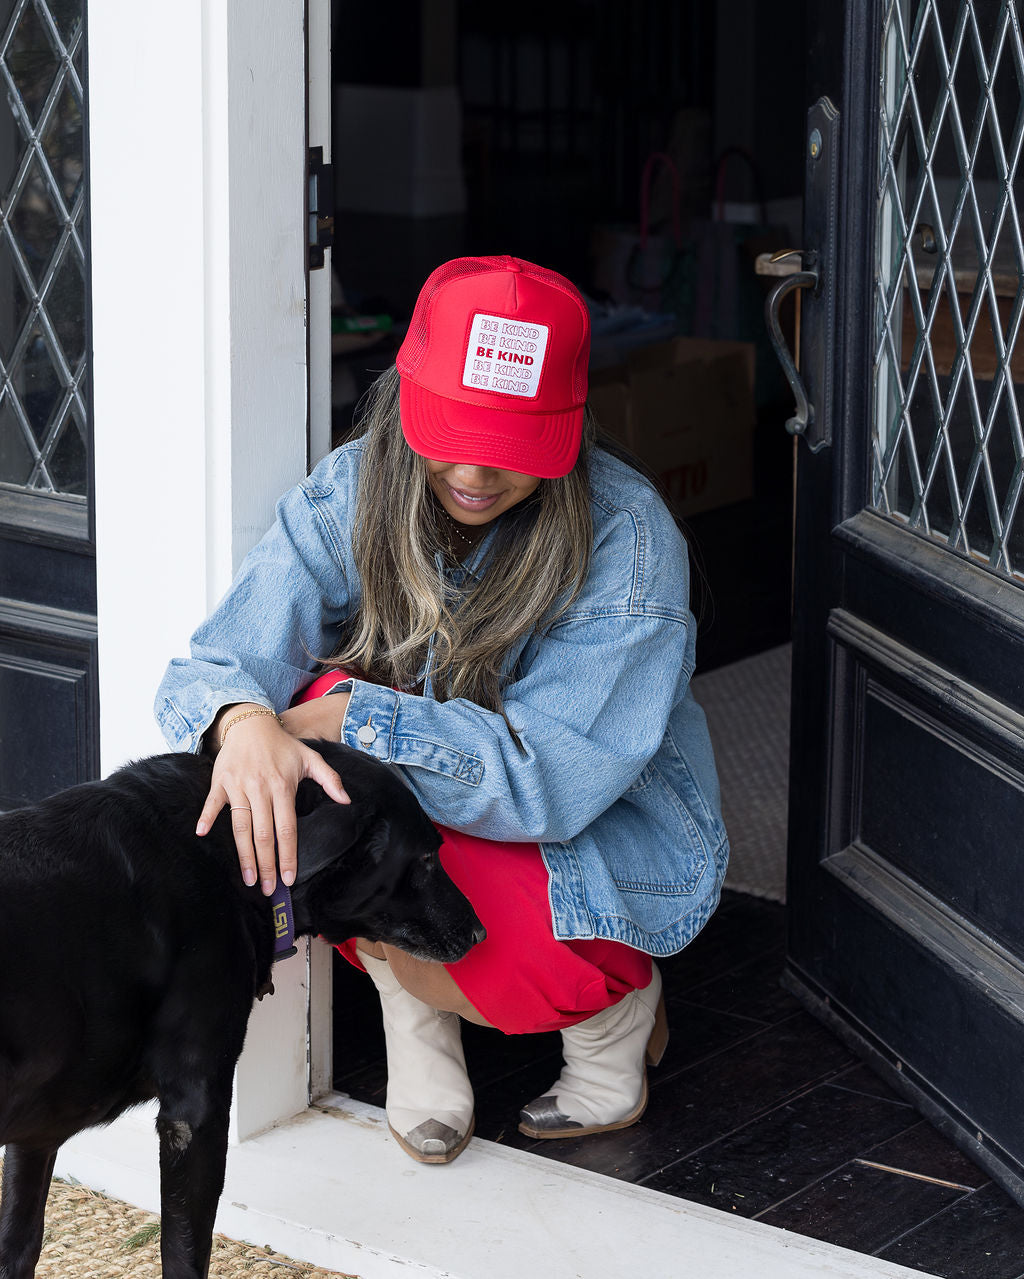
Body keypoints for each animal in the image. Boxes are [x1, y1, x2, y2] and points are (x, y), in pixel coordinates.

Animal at [0, 741, 483, 1279]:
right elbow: (184, 1253)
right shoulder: (195, 1113)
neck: (224, 853)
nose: (480, 933)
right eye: (427, 858)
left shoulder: (37, 1130)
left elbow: (19, 1242)